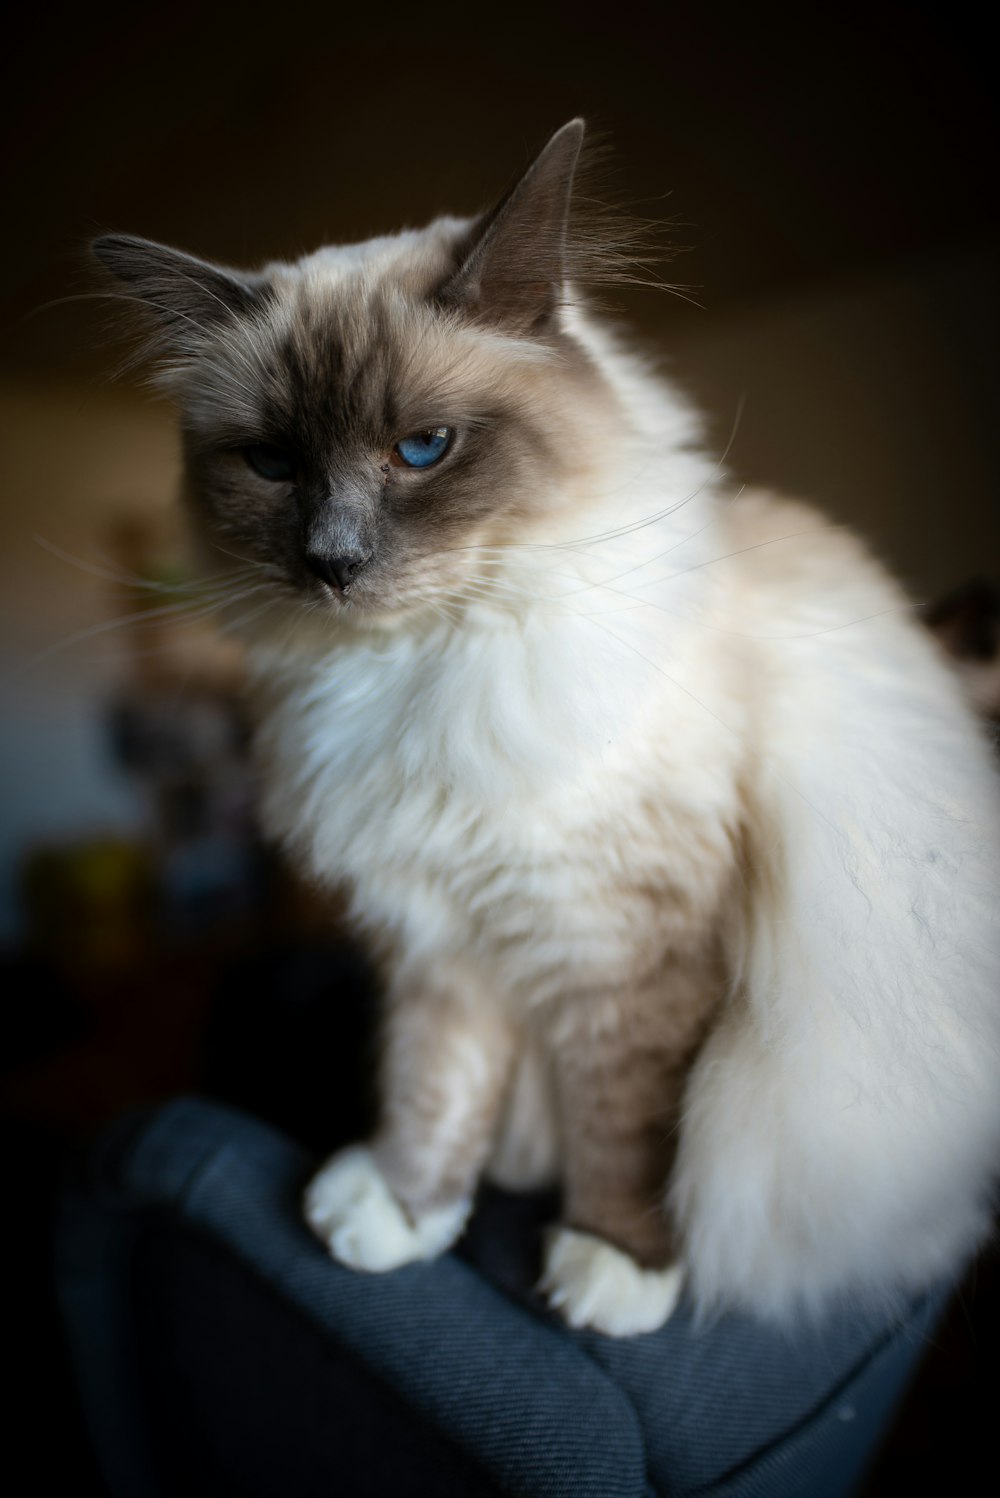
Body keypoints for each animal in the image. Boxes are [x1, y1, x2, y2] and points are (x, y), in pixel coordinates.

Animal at [95, 119, 999, 1336]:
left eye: (423, 450)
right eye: (273, 465)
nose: (331, 563)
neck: (420, 668)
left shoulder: (625, 949)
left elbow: (631, 1122)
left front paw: (613, 1267)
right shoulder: (440, 934)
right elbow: (434, 1086)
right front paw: (402, 1211)